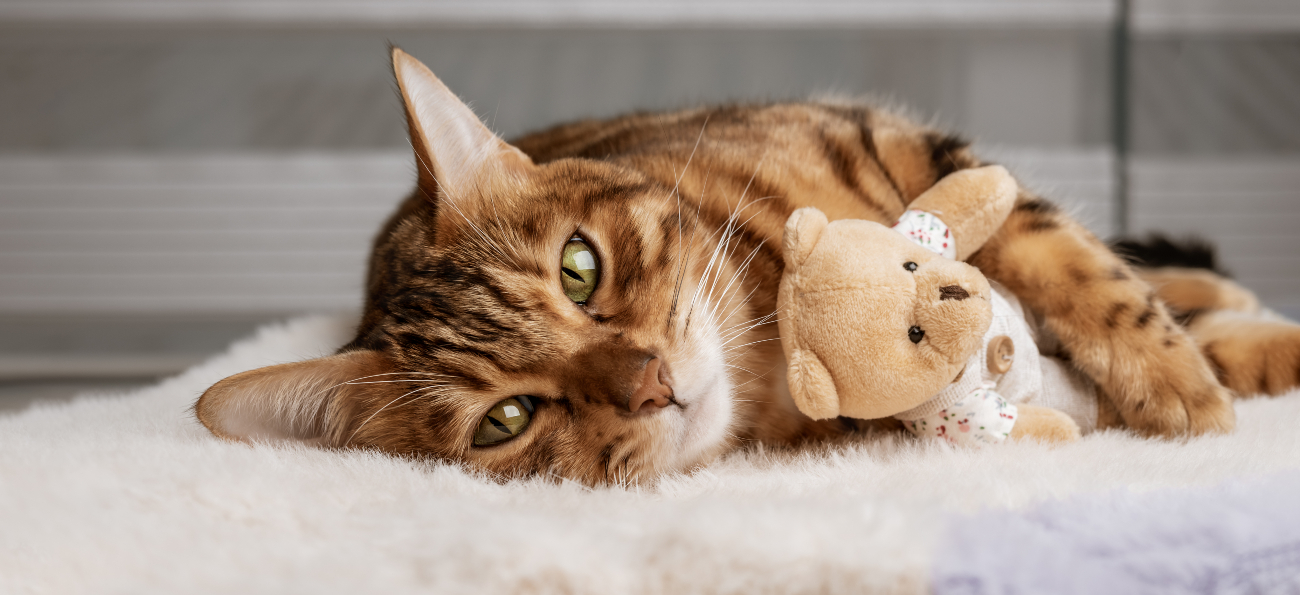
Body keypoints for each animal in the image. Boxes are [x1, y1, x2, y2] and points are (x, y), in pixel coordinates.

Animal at [192, 46, 1300, 483]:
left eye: (579, 269)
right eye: (505, 420)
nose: (650, 384)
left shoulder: (913, 152)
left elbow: (1080, 267)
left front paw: (1178, 382)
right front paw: (1201, 379)